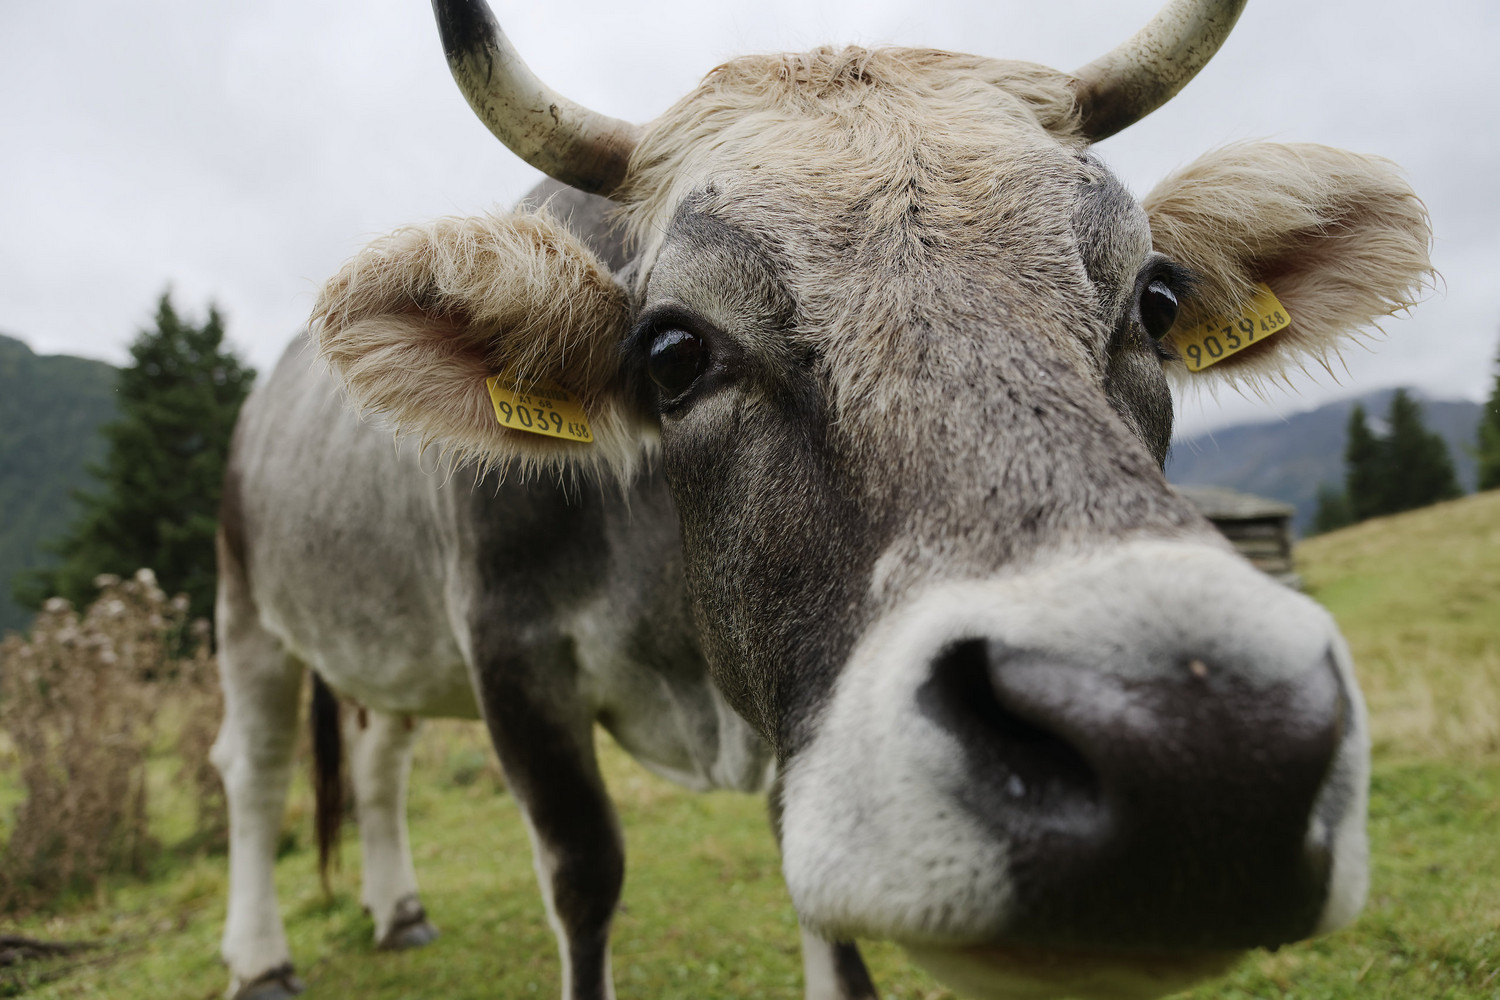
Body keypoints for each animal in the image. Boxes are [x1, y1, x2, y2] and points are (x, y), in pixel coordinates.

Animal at [211, 0, 1428, 995]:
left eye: (1159, 300)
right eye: (671, 350)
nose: (1202, 750)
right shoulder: (512, 651)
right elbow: (586, 874)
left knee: (378, 762)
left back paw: (399, 913)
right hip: (246, 612)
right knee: (254, 774)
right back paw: (263, 959)